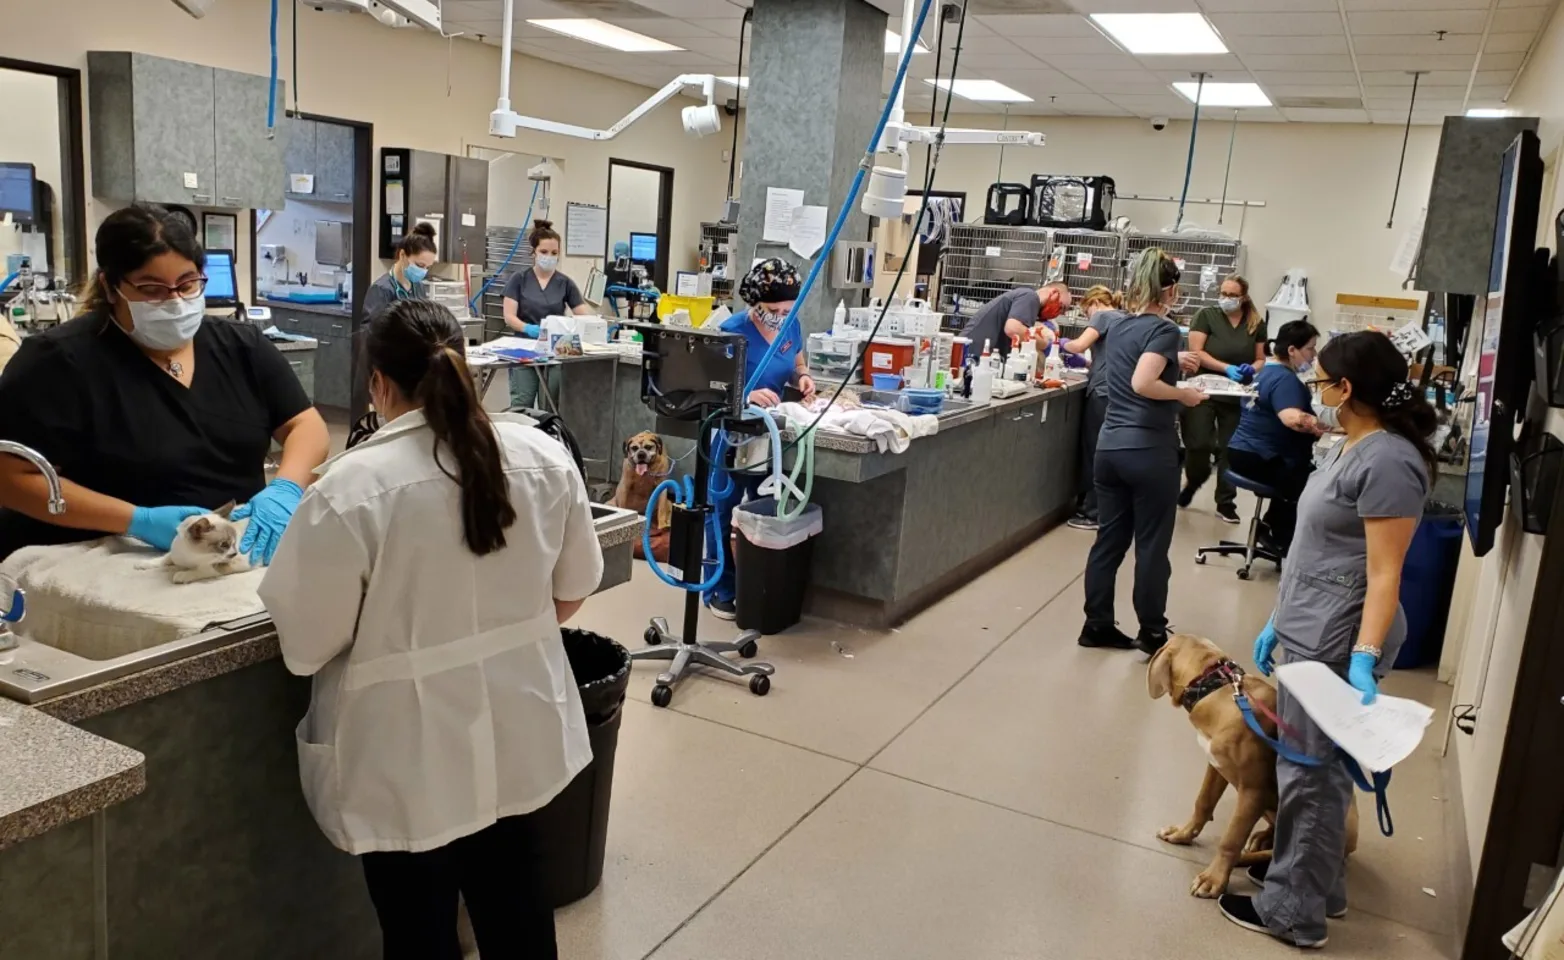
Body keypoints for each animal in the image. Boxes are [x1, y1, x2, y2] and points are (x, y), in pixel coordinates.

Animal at [609, 431, 672, 562]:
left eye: (648, 447)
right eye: (634, 448)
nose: (641, 454)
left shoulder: (662, 486)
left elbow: (662, 510)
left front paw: (662, 525)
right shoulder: (625, 485)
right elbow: (623, 503)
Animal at [1151, 634, 1357, 900]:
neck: (1218, 689)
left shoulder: (1253, 792)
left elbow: (1231, 839)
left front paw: (1214, 879)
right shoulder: (1216, 767)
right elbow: (1203, 803)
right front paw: (1183, 834)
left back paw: (1247, 857)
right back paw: (1261, 838)